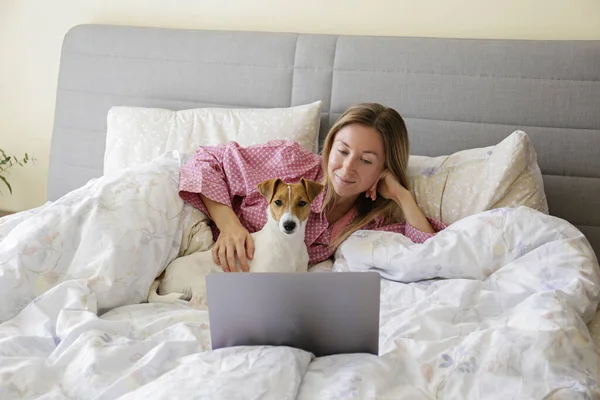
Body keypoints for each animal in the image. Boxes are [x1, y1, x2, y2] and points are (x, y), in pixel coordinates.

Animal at [147, 178, 324, 310]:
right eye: (278, 202)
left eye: (302, 203)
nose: (289, 225)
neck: (287, 244)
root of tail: (163, 274)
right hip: (202, 280)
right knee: (195, 304)